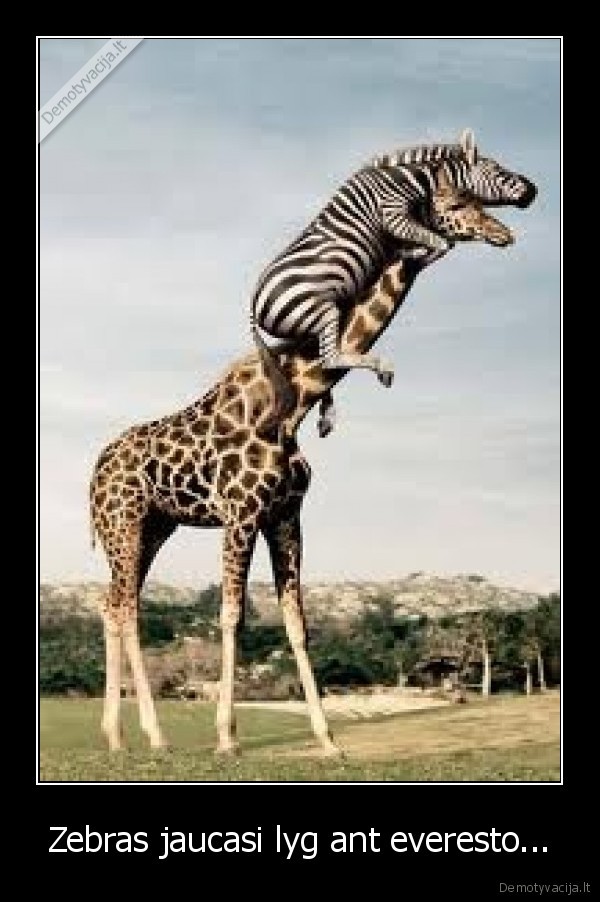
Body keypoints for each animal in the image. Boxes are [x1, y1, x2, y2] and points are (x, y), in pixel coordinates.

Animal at [250, 128, 536, 394]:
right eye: (497, 169)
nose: (533, 190)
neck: (408, 180)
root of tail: (253, 304)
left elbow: (438, 242)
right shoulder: (392, 216)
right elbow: (442, 243)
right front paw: (414, 254)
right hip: (320, 310)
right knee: (329, 360)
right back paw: (382, 368)